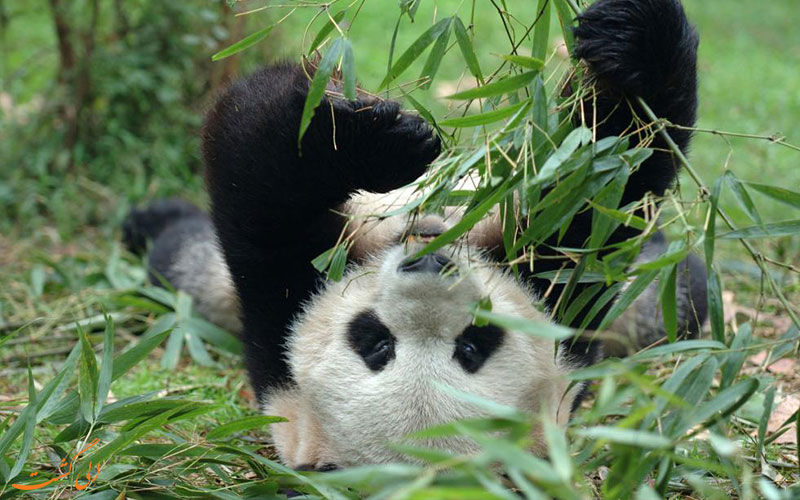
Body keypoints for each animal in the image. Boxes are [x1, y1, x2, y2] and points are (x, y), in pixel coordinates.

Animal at [122, 0, 704, 468]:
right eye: (375, 342)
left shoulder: (562, 297)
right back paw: (150, 221)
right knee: (182, 257)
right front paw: (373, 139)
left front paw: (632, 41)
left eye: (473, 345)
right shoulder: (279, 314)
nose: (429, 265)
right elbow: (259, 172)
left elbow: (602, 185)